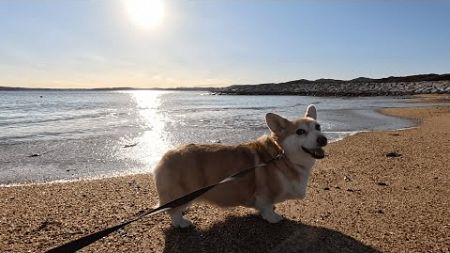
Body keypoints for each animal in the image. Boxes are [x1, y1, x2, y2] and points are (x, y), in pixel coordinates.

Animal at [154, 104, 326, 227]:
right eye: (300, 131)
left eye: (318, 127)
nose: (323, 139)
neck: (282, 155)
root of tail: (163, 157)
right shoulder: (264, 194)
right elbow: (267, 207)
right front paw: (273, 217)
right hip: (183, 194)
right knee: (174, 212)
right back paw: (183, 223)